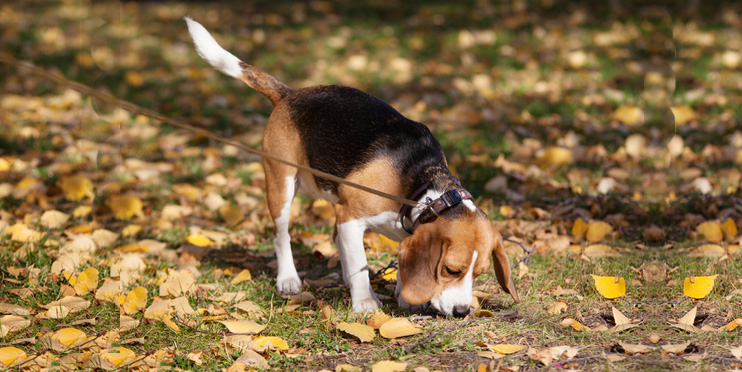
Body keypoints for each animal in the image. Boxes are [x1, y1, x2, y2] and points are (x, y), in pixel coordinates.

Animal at [189, 17, 520, 316]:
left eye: (479, 274)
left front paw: (405, 296)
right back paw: (289, 278)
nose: (462, 312)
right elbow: (360, 265)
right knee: (281, 235)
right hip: (281, 184)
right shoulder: (350, 217)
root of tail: (290, 95)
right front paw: (365, 304)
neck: (421, 187)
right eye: (451, 270)